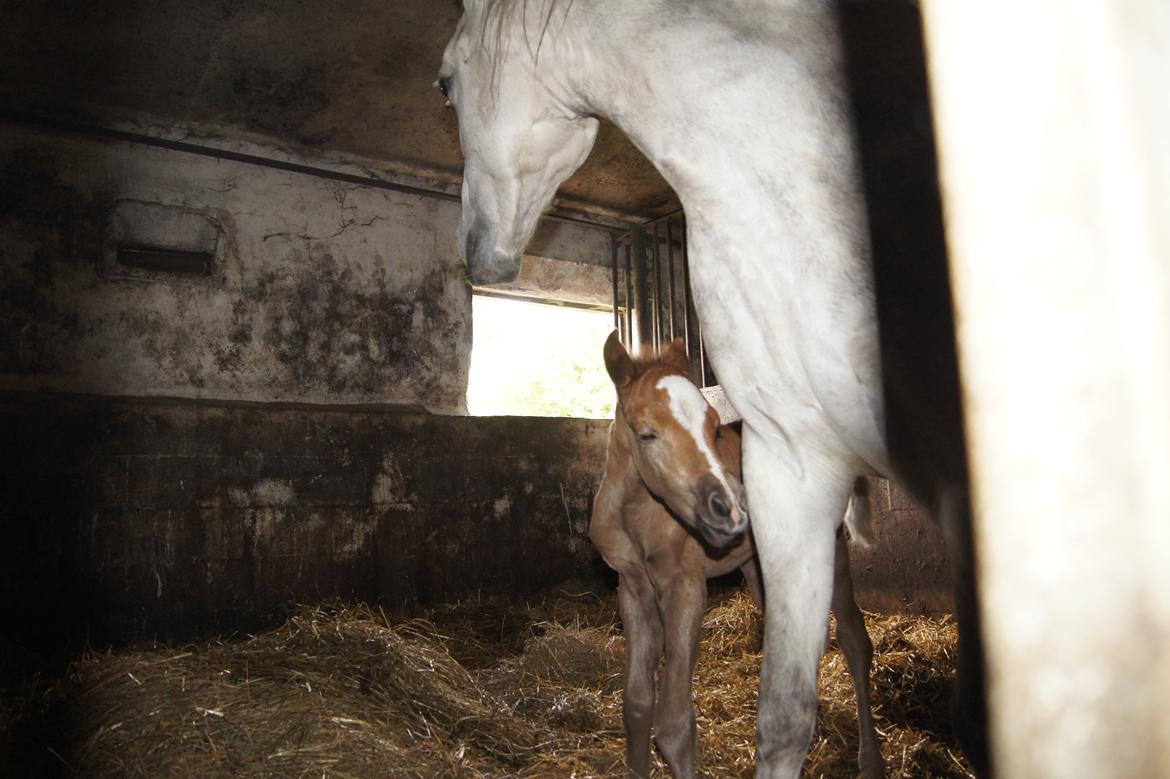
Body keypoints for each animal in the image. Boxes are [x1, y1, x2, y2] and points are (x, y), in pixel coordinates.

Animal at [439, 3, 987, 771]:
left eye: (445, 82)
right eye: (645, 432)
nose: (480, 248)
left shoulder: (689, 585)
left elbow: (677, 718)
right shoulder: (634, 591)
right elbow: (638, 707)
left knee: (855, 639)